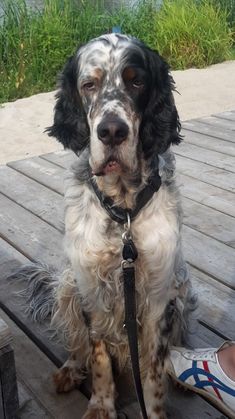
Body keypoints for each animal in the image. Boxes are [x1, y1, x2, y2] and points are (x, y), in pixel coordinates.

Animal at [29, 33, 193, 419]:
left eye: (137, 81)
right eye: (89, 85)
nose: (112, 131)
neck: (124, 212)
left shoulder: (160, 294)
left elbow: (153, 371)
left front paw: (155, 409)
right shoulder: (91, 287)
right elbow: (99, 355)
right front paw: (101, 405)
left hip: (181, 290)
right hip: (67, 286)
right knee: (78, 345)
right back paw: (71, 369)